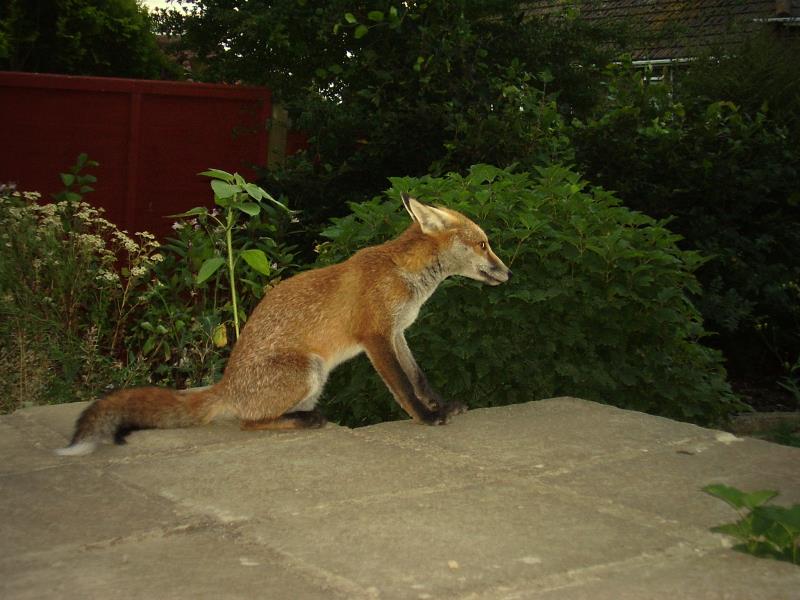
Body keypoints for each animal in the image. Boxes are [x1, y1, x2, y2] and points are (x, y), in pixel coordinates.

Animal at [57, 193, 512, 454]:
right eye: (484, 244)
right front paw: (426, 418)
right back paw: (307, 421)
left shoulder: (397, 333)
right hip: (308, 369)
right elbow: (402, 386)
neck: (405, 275)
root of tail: (226, 385)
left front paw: (441, 404)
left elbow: (419, 377)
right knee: (248, 422)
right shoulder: (375, 336)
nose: (508, 273)